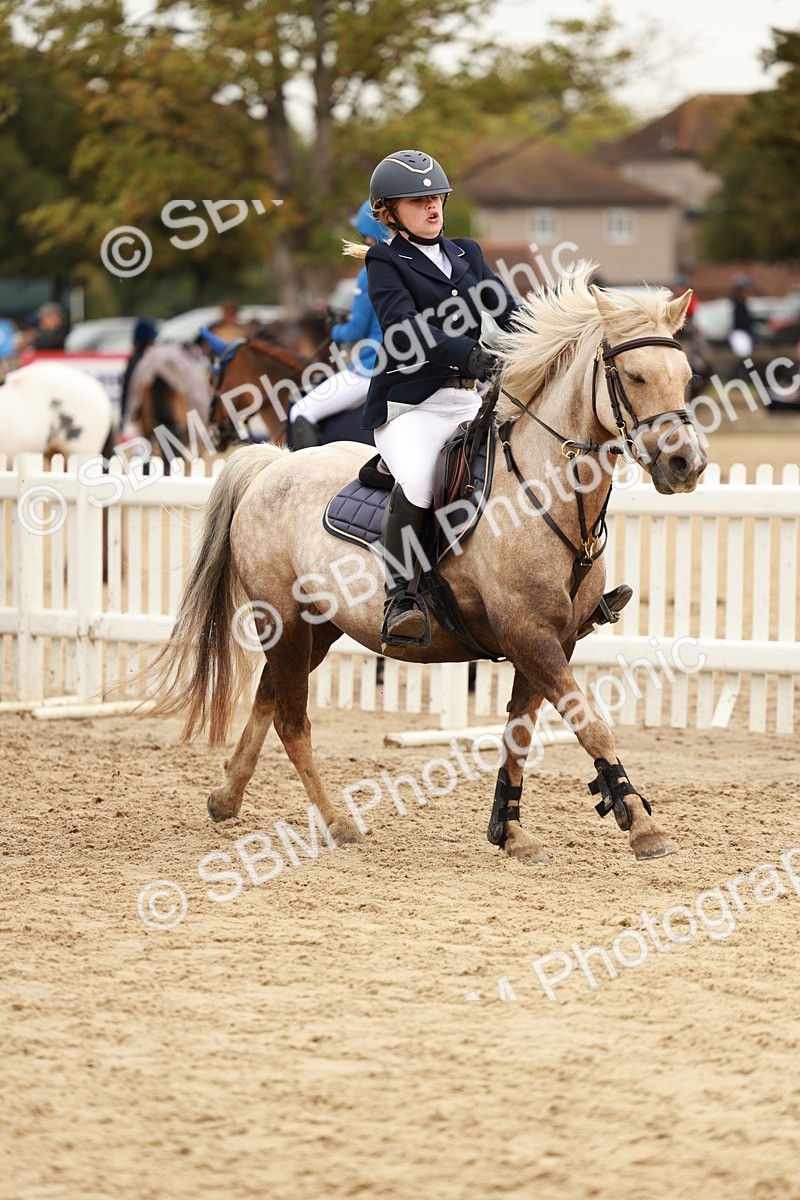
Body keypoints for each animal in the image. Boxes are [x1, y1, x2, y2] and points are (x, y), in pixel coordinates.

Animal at [142, 266, 705, 865]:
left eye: (686, 377)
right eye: (635, 376)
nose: (685, 465)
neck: (545, 494)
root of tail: (273, 465)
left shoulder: (555, 640)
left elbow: (519, 735)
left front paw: (510, 830)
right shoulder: (531, 636)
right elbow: (590, 724)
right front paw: (641, 825)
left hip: (318, 629)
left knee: (268, 697)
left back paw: (226, 797)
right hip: (284, 621)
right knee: (292, 720)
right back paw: (337, 823)